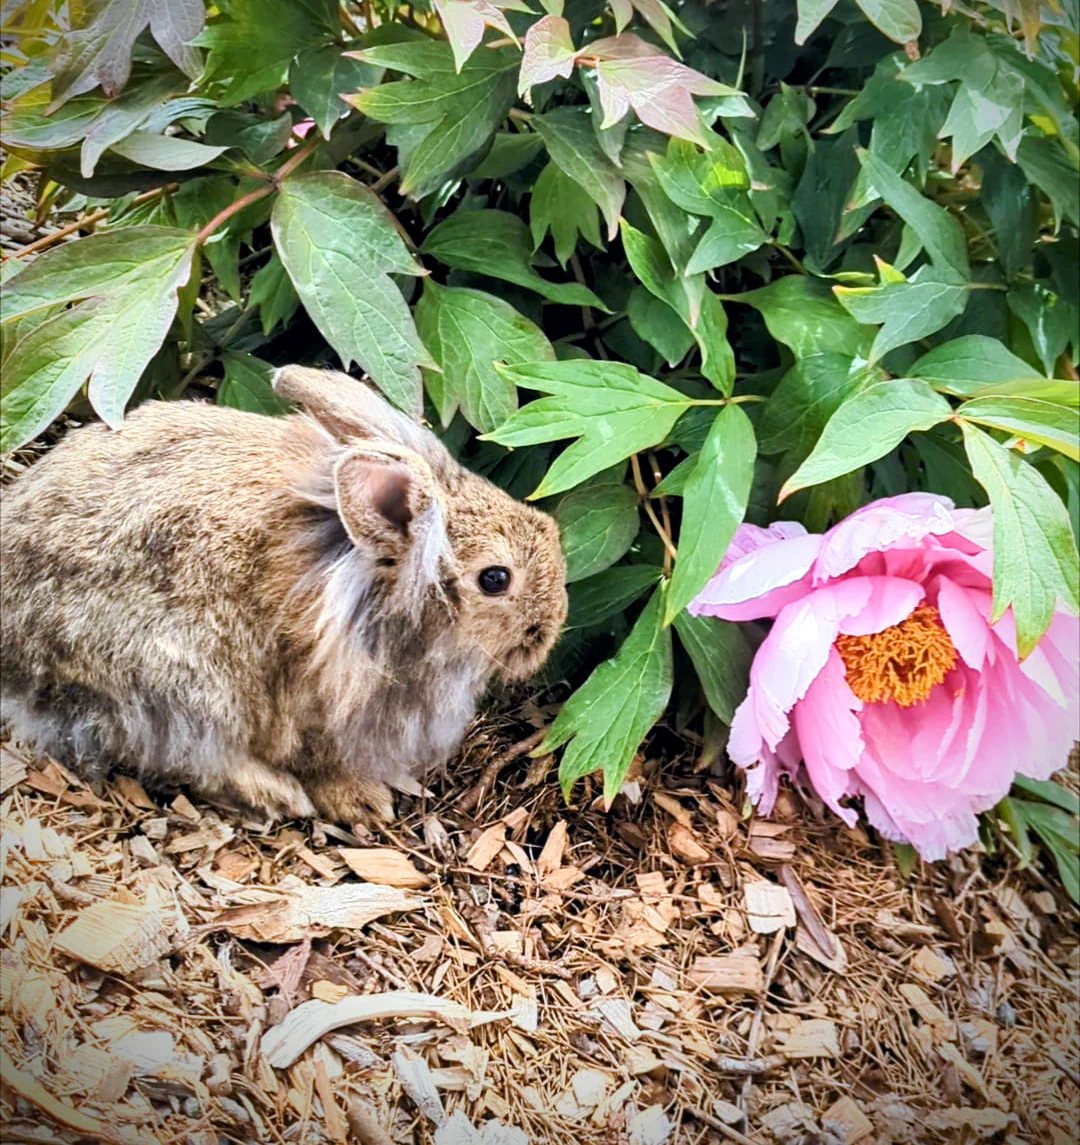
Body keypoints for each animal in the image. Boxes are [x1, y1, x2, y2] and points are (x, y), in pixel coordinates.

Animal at [0, 366, 567, 823]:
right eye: (495, 579)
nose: (550, 628)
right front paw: (362, 802)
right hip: (182, 686)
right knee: (194, 757)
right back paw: (279, 795)